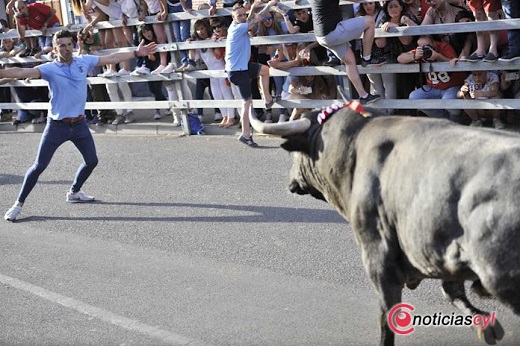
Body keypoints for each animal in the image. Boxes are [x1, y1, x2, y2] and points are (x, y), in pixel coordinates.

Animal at [250, 104, 516, 344]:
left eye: (295, 155)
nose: (291, 182)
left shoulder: (377, 256)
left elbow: (387, 316)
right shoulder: (438, 250)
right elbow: (452, 290)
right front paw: (484, 325)